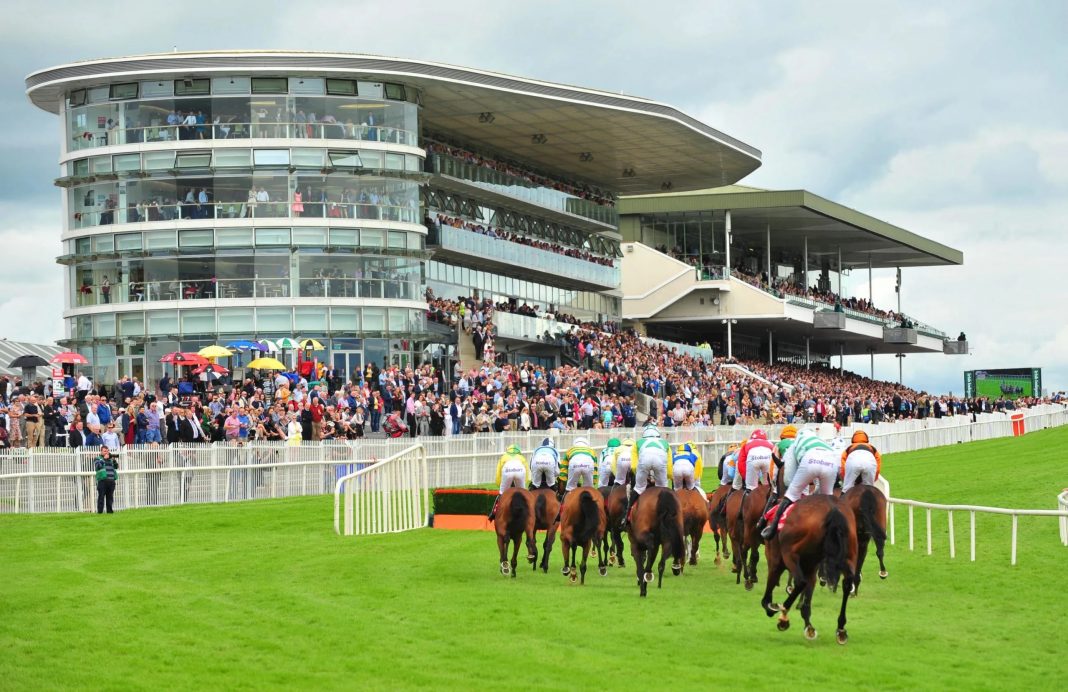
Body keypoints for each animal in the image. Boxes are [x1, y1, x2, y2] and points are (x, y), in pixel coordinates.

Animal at [760, 491, 858, 645]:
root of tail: (833, 510)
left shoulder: (775, 558)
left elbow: (772, 584)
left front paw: (770, 606)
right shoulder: (811, 566)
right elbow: (808, 596)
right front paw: (809, 626)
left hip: (790, 554)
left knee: (800, 582)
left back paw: (783, 615)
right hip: (850, 553)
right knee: (847, 583)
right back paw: (841, 629)